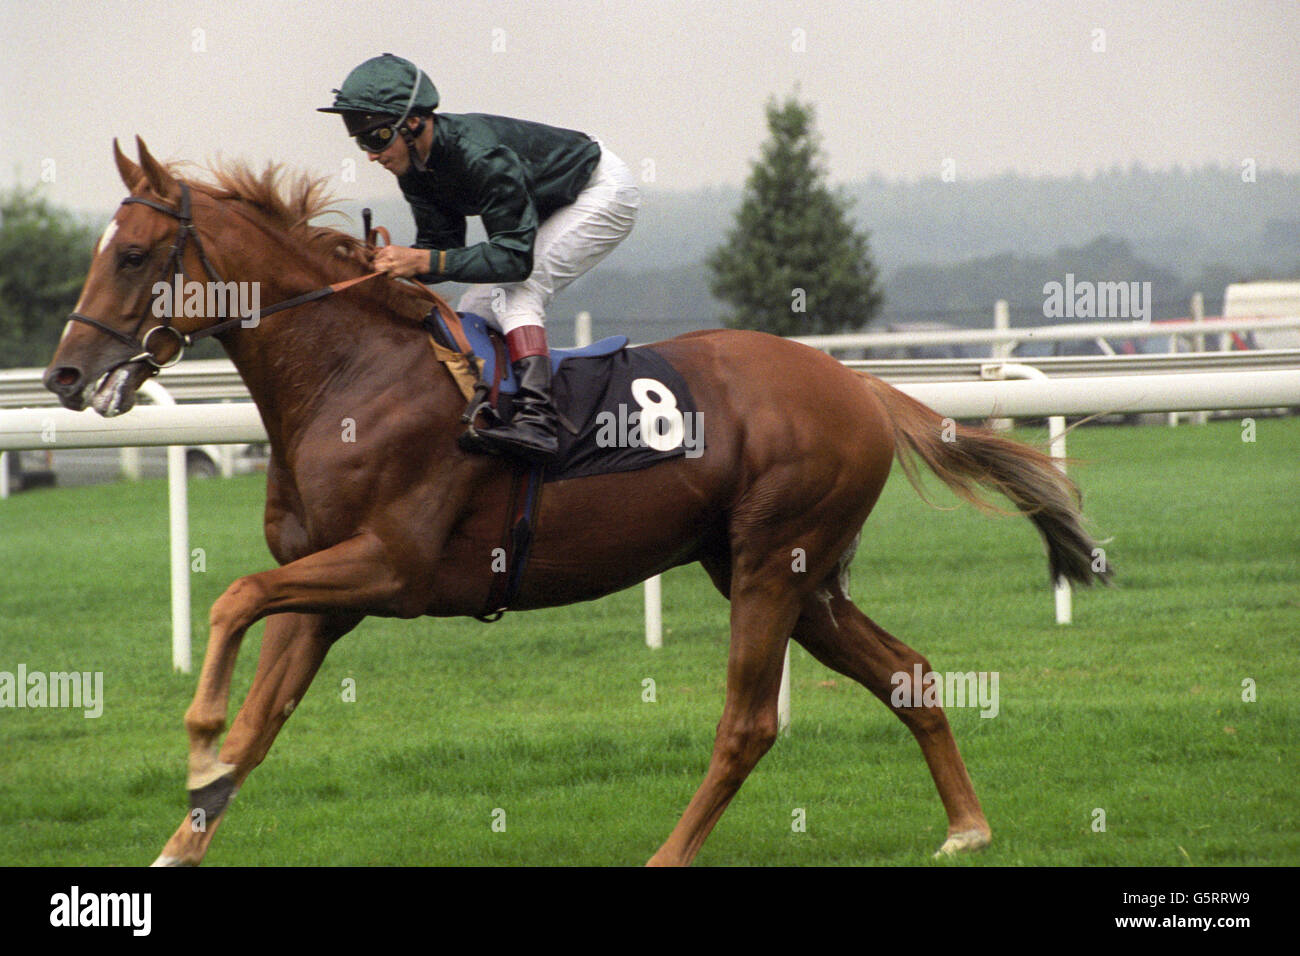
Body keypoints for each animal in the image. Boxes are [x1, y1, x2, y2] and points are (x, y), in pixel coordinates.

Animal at [44, 138, 1111, 866]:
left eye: (133, 255)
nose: (63, 374)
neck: (352, 374)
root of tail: (859, 385)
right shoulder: (326, 591)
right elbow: (260, 718)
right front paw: (186, 825)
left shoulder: (389, 567)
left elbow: (231, 601)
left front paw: (195, 744)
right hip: (788, 574)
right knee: (908, 674)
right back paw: (967, 828)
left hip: (773, 561)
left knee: (749, 723)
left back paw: (670, 853)